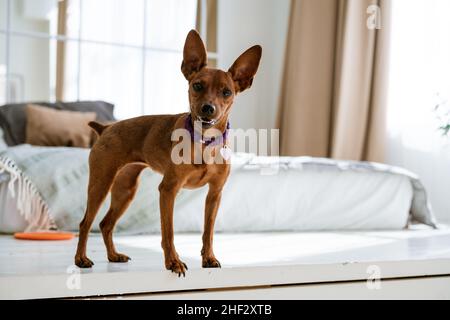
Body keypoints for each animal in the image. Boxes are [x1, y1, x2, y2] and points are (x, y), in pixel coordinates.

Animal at [74, 28, 260, 276]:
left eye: (227, 92)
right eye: (197, 86)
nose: (208, 108)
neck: (204, 142)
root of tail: (106, 128)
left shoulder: (214, 194)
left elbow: (208, 233)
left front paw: (209, 258)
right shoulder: (168, 190)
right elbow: (168, 232)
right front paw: (173, 262)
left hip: (125, 190)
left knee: (106, 224)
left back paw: (113, 256)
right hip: (100, 184)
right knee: (85, 223)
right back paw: (80, 259)